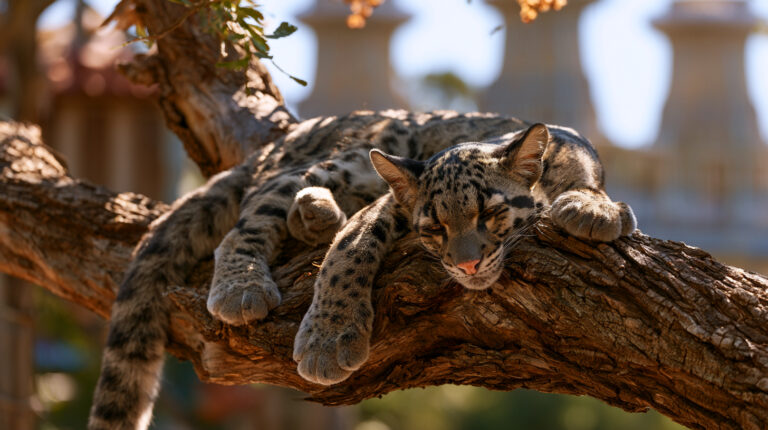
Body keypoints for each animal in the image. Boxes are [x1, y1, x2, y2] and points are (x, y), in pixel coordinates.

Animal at [87, 110, 635, 430]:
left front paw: (593, 208)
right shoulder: (392, 205)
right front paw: (327, 340)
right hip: (342, 158)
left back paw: (314, 214)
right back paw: (252, 274)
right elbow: (350, 250)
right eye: (434, 227)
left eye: (490, 214)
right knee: (252, 213)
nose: (467, 262)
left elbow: (586, 187)